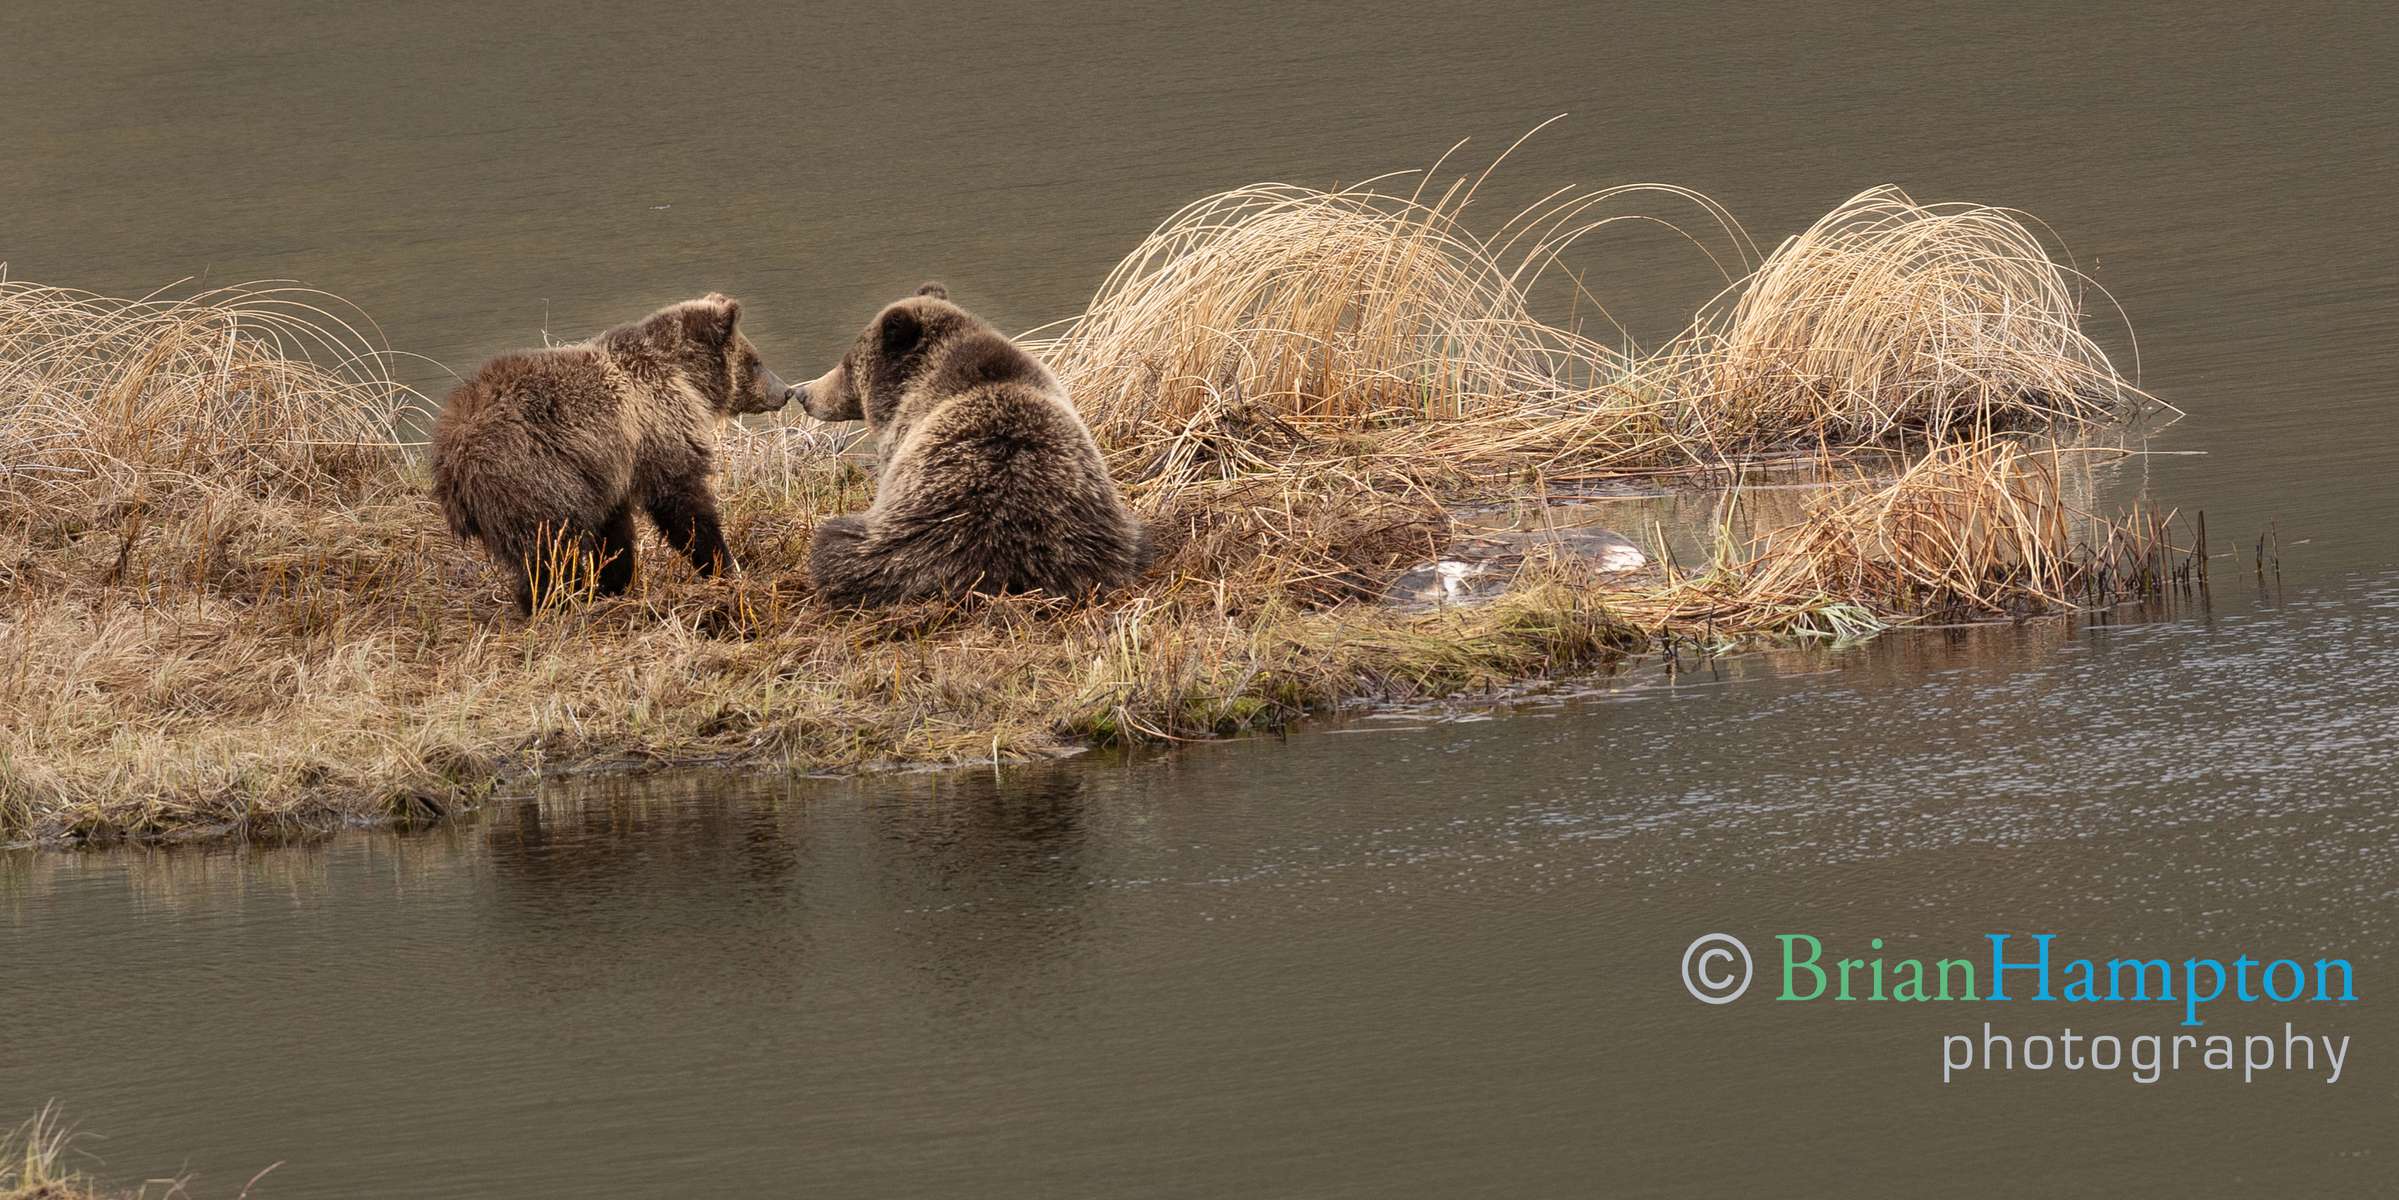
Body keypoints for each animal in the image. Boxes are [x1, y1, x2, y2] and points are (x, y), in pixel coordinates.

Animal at [431, 290, 796, 609]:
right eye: (756, 362)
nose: (786, 391)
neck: (687, 379)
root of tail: (451, 456)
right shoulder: (658, 428)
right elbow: (682, 503)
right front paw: (723, 563)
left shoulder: (610, 467)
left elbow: (615, 528)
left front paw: (614, 579)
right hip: (530, 473)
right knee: (548, 546)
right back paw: (554, 598)